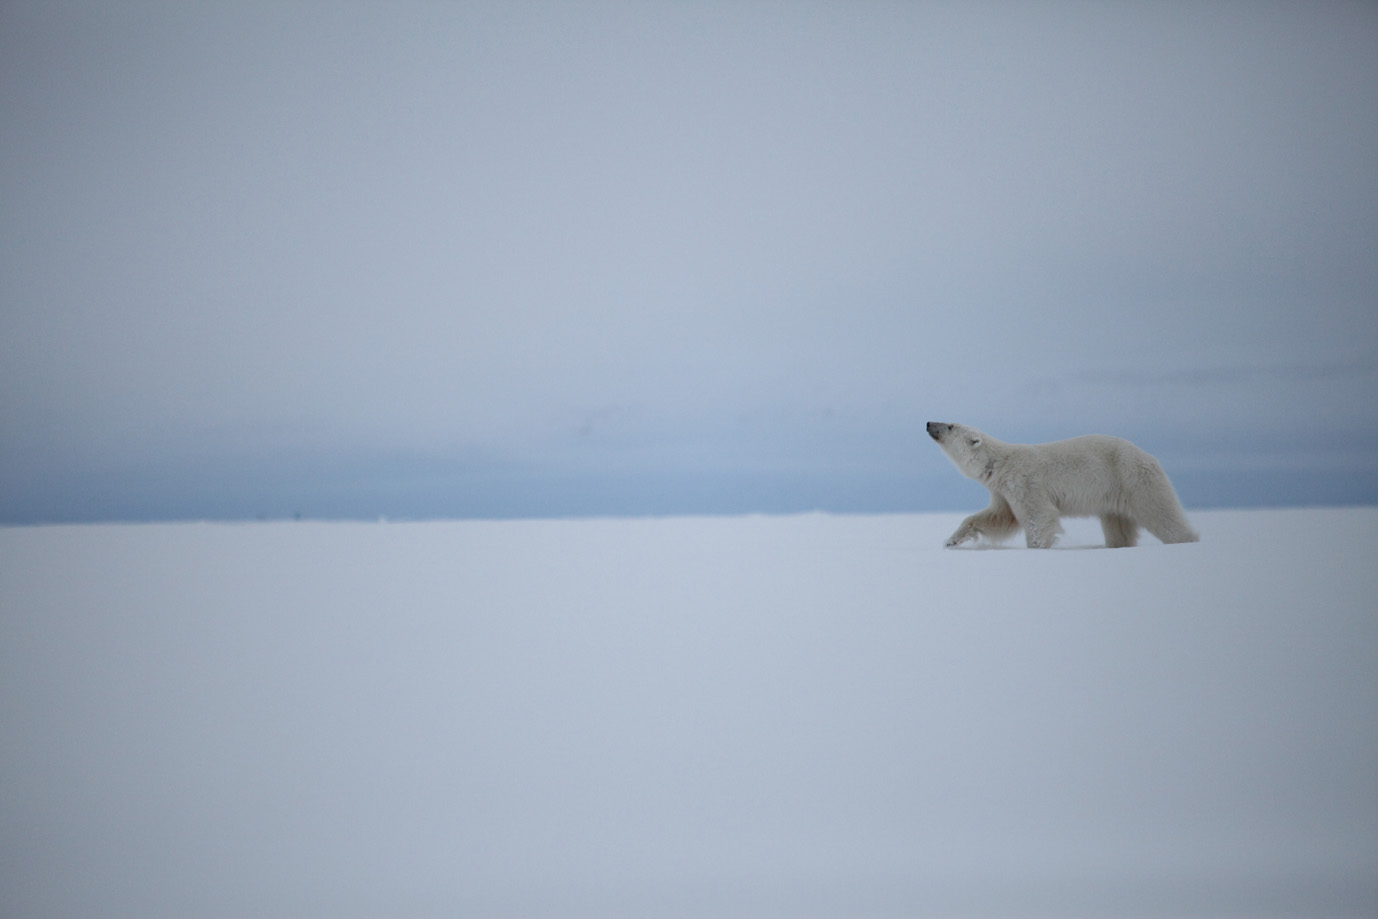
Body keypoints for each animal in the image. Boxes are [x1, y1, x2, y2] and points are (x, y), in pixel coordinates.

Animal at [931, 421, 1201, 551]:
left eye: (950, 425)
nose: (928, 423)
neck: (998, 463)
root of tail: (1150, 457)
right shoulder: (1002, 491)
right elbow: (998, 518)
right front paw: (951, 540)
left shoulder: (1025, 481)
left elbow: (1038, 516)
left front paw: (1036, 549)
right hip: (1117, 493)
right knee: (1118, 525)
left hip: (1134, 479)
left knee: (1161, 514)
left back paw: (1187, 539)